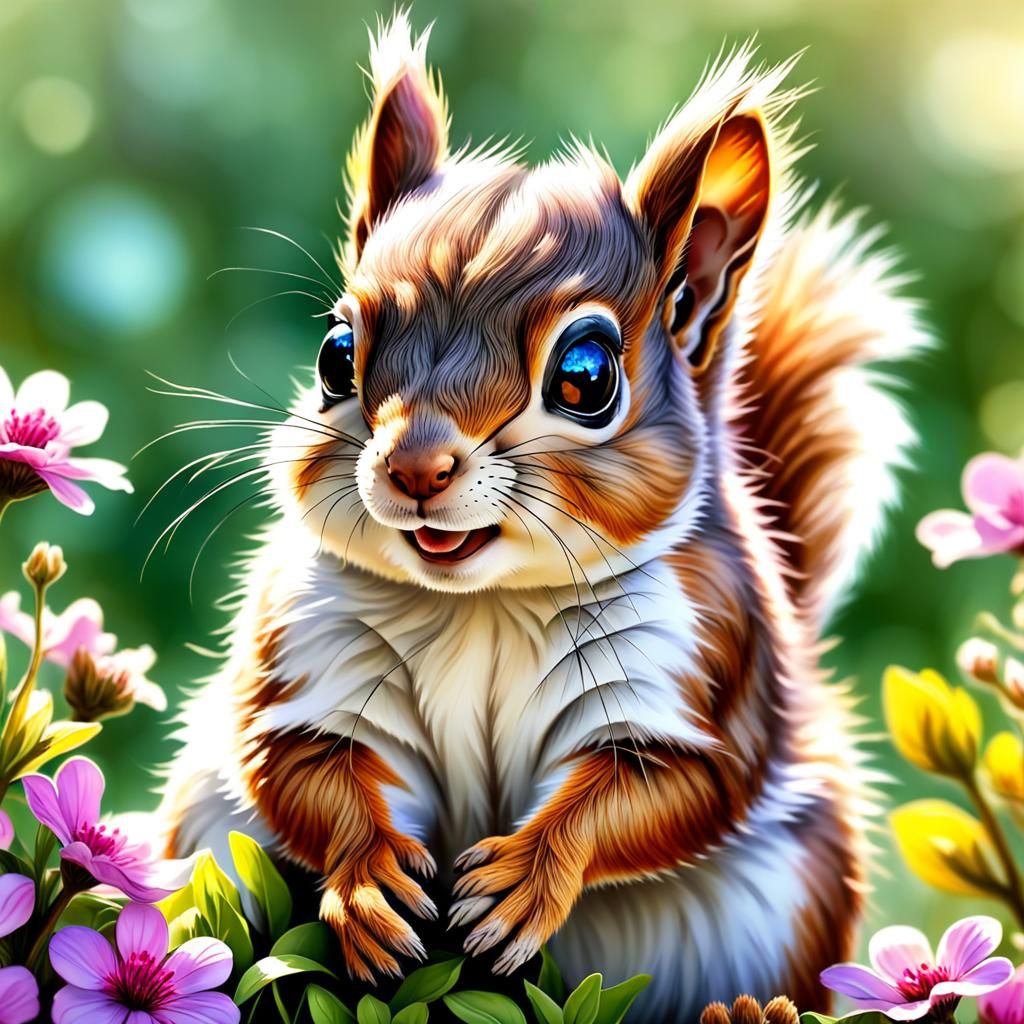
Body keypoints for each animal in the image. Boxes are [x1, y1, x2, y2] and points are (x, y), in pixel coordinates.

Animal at [156, 13, 926, 1021]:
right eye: (335, 355)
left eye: (587, 376)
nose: (414, 467)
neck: (485, 602)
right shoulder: (309, 647)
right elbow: (303, 762)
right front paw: (368, 885)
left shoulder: (705, 665)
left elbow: (662, 790)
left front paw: (524, 878)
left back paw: (753, 1008)